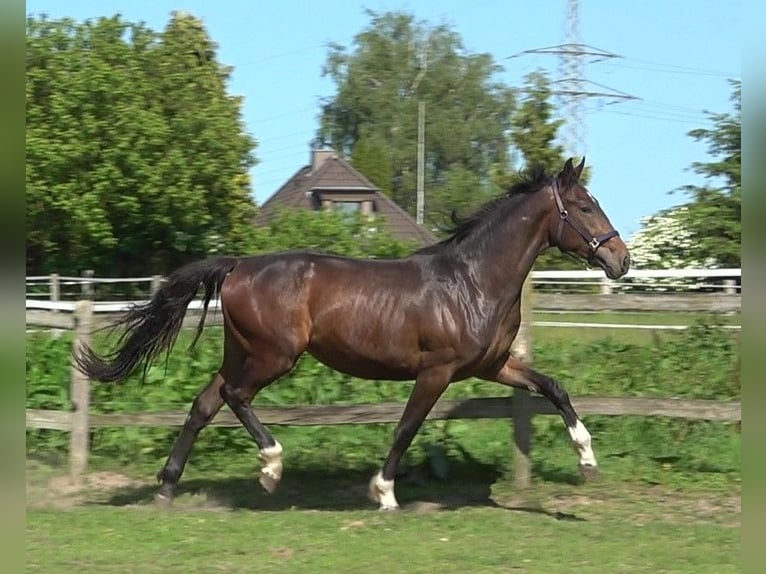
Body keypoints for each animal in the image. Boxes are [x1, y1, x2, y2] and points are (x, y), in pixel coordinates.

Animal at [75, 159, 632, 512]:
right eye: (585, 207)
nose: (621, 260)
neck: (473, 280)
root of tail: (237, 266)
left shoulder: (493, 365)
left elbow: (554, 388)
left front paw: (588, 461)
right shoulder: (437, 371)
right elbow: (406, 428)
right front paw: (384, 493)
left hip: (243, 351)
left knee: (204, 404)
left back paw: (167, 488)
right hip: (275, 356)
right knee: (234, 397)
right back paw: (271, 468)